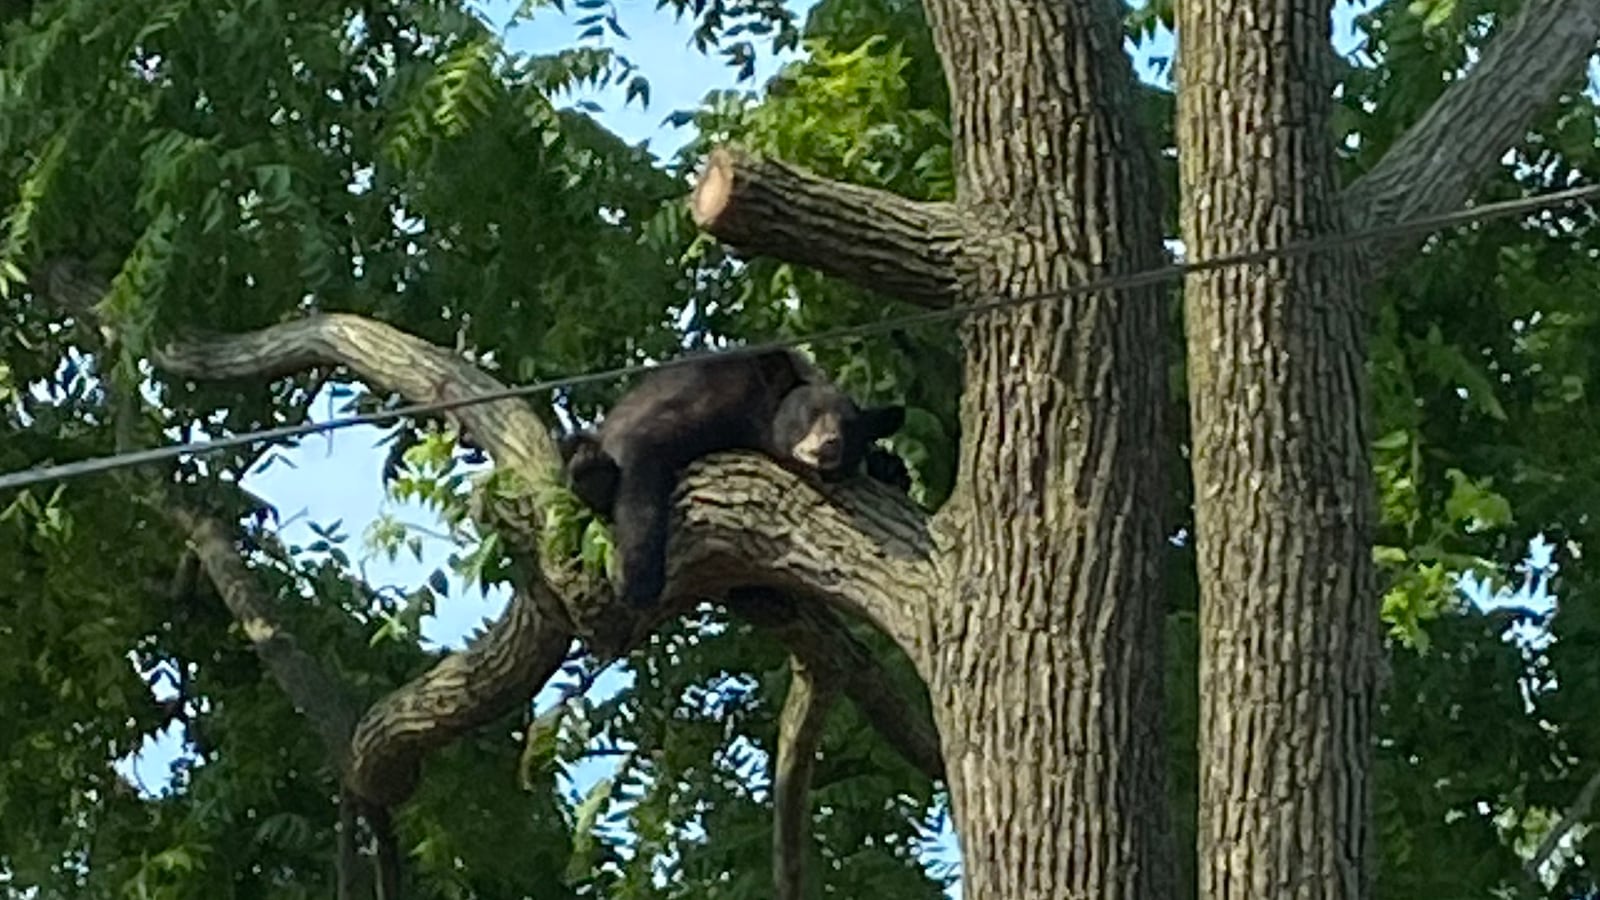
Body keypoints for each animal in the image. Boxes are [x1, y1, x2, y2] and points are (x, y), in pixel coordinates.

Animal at [557, 348, 905, 608]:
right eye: (812, 412)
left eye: (850, 426)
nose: (831, 442)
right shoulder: (714, 397)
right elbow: (645, 450)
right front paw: (639, 581)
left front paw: (890, 467)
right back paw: (592, 472)